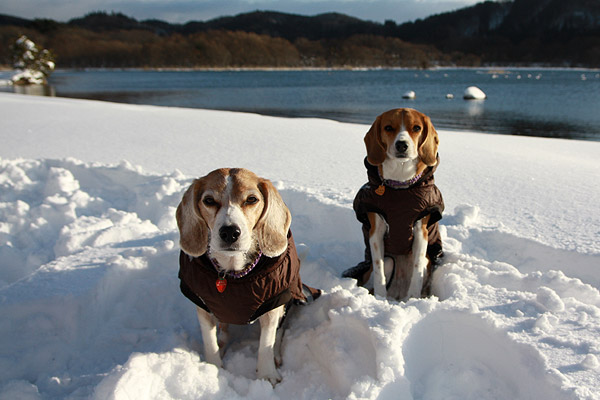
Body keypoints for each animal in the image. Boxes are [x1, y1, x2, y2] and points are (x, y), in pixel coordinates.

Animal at [176, 168, 316, 384]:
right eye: (209, 200)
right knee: (224, 332)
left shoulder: (272, 307)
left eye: (251, 199)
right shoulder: (203, 306)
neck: (231, 273)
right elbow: (209, 342)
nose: (230, 232)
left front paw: (267, 376)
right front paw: (212, 368)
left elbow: (266, 343)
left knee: (279, 332)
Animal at [350, 108, 442, 302]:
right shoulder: (376, 232)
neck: (400, 186)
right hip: (389, 261)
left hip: (426, 261)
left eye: (416, 128)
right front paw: (379, 298)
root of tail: (398, 294)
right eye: (388, 127)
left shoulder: (421, 231)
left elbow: (417, 268)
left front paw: (414, 297)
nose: (402, 145)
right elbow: (379, 269)